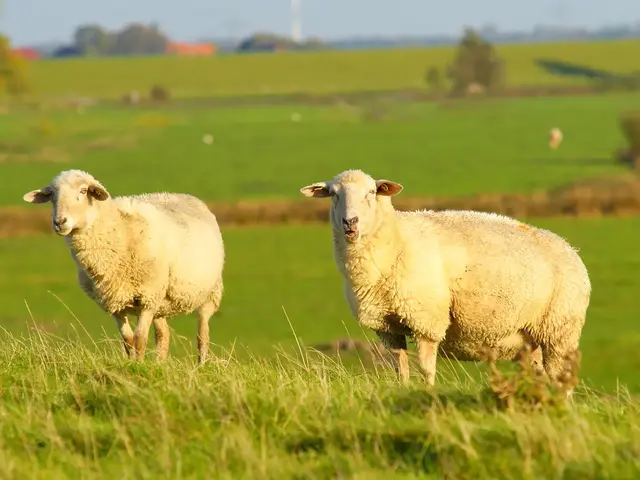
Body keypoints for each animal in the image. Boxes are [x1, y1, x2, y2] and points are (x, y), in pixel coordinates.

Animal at [22, 169, 225, 364]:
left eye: (83, 190)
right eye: (52, 195)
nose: (59, 222)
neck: (121, 232)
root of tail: (183, 195)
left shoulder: (147, 299)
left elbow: (140, 339)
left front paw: (139, 366)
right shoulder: (115, 301)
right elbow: (128, 340)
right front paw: (132, 363)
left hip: (209, 293)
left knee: (202, 335)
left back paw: (200, 365)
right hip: (160, 301)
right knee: (163, 335)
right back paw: (159, 364)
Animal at [300, 169, 591, 396]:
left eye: (371, 192)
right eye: (334, 194)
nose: (350, 222)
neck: (395, 242)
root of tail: (571, 249)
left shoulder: (426, 319)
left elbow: (426, 369)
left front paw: (427, 395)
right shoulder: (388, 327)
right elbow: (400, 369)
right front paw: (404, 391)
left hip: (560, 330)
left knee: (561, 379)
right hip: (530, 339)